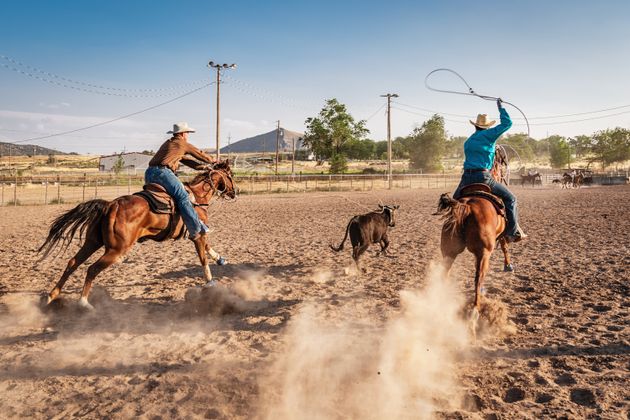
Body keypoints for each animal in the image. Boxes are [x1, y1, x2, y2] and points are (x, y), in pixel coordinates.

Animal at [39, 161, 237, 308]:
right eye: (231, 176)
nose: (235, 192)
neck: (197, 196)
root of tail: (110, 205)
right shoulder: (197, 233)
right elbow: (202, 256)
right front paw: (210, 283)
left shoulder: (198, 233)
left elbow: (208, 248)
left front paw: (220, 259)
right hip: (116, 250)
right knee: (92, 269)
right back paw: (83, 303)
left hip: (93, 242)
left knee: (73, 262)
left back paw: (51, 296)